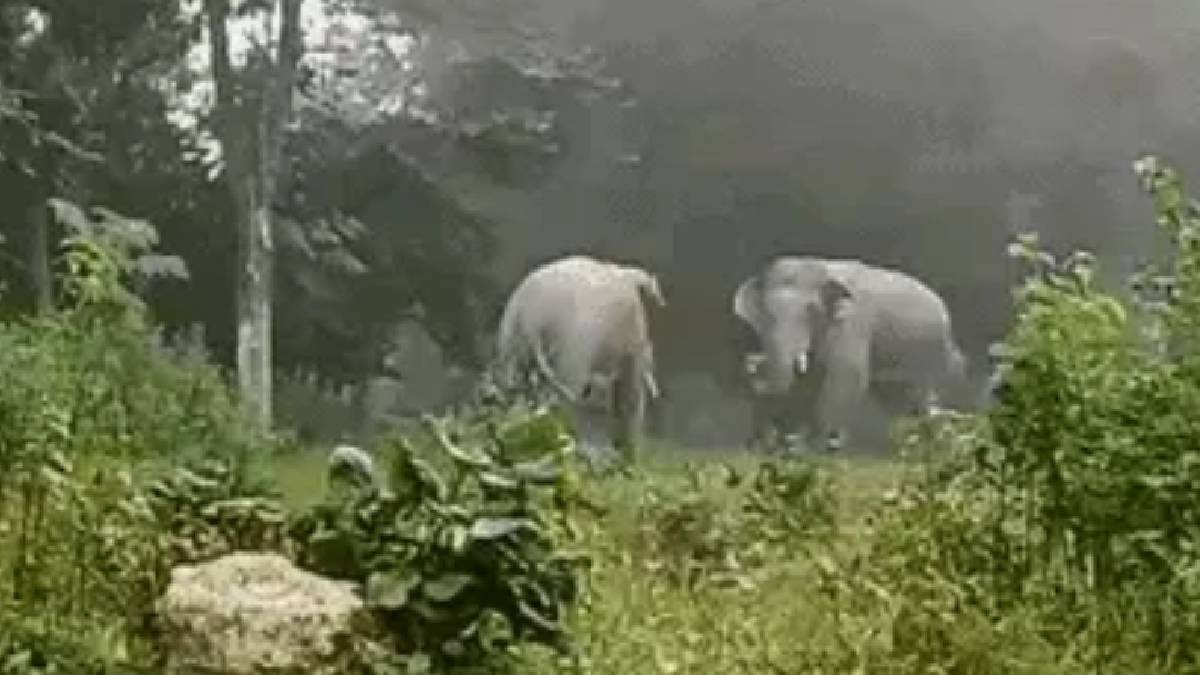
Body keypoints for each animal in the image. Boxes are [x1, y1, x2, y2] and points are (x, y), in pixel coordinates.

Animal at [729, 255, 964, 451]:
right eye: (766, 312)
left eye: (811, 310)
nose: (752, 362)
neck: (818, 266)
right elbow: (806, 382)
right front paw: (793, 445)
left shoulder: (853, 323)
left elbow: (847, 375)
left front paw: (819, 446)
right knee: (896, 395)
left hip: (930, 352)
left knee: (921, 394)